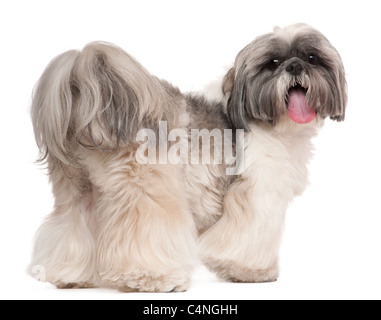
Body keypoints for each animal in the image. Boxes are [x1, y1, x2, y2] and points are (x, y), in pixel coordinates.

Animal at [28, 23, 346, 292]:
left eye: (312, 57)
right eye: (274, 63)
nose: (295, 66)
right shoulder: (257, 194)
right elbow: (249, 236)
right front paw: (252, 271)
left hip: (78, 190)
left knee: (70, 226)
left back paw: (70, 275)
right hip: (148, 190)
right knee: (146, 231)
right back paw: (154, 278)